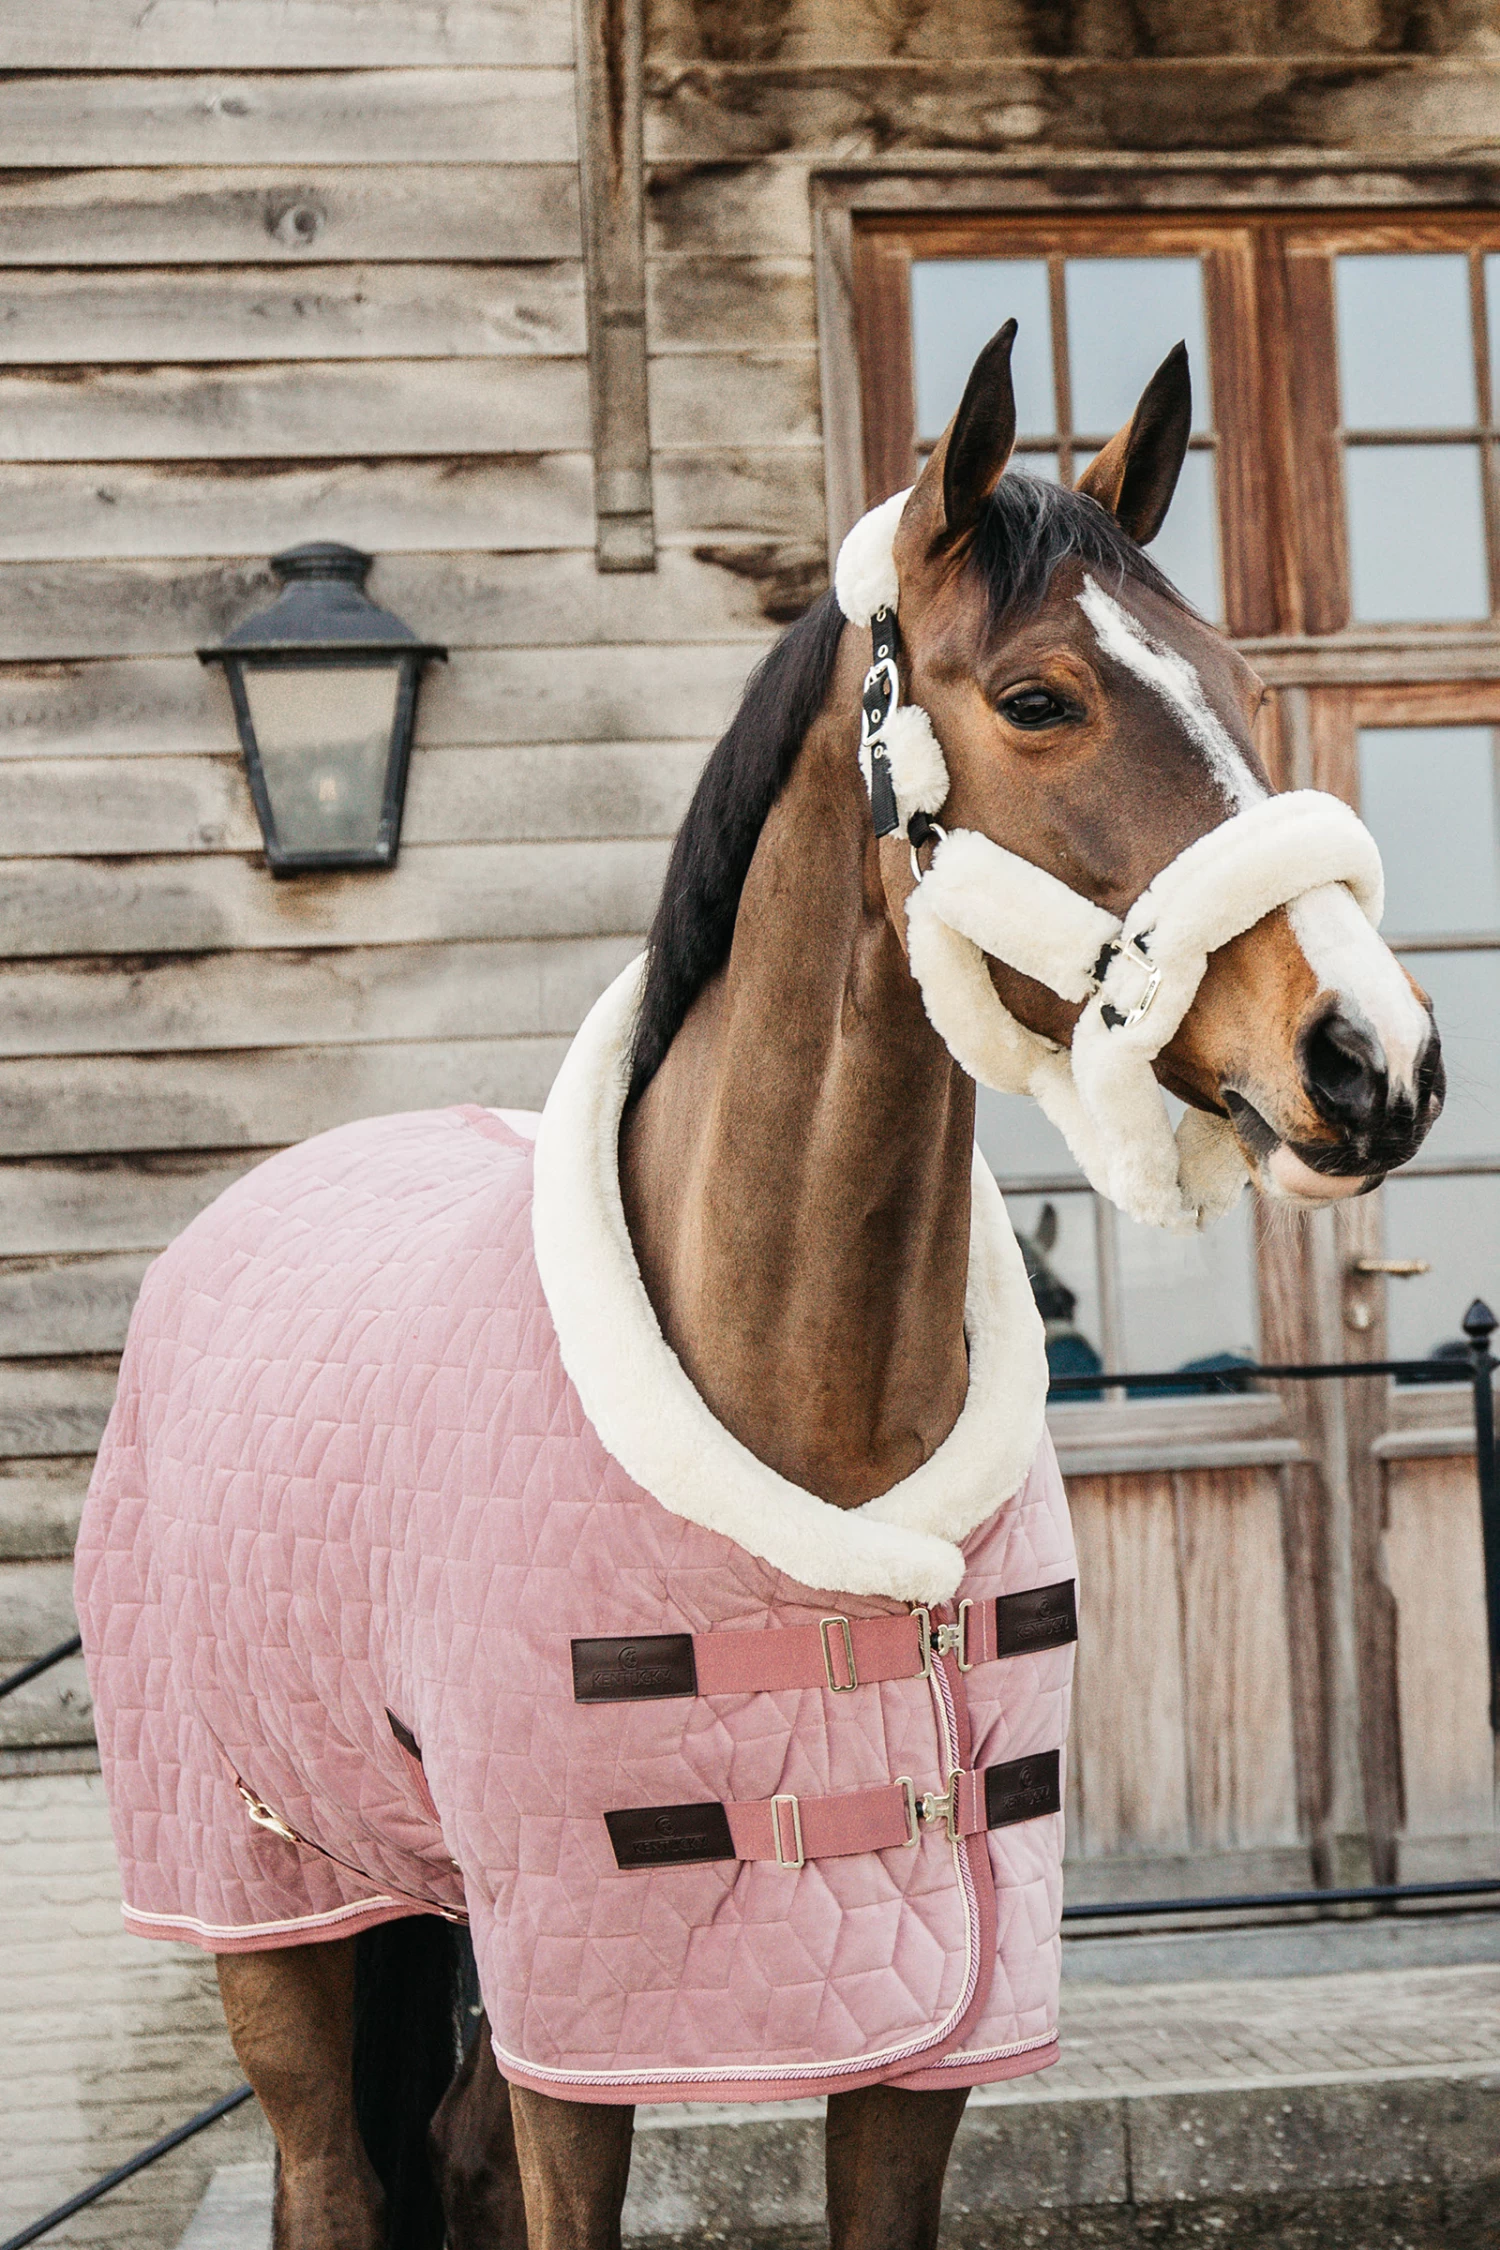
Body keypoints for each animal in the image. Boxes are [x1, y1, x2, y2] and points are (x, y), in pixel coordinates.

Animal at [76, 324, 1443, 2250]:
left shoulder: (916, 2048)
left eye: (1250, 686)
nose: (1372, 1054)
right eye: (1040, 699)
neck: (807, 1406)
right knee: (332, 2172)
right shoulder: (588, 2018)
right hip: (277, 1916)